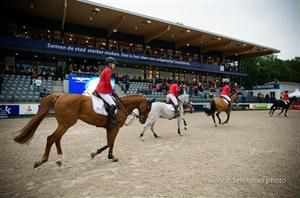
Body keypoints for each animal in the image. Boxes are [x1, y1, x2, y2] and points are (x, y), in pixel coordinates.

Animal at [13, 93, 155, 168]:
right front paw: (95, 154)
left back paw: (59, 159)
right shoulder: (114, 128)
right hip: (66, 123)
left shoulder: (110, 128)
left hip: (64, 124)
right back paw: (41, 161)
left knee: (57, 138)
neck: (121, 107)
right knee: (51, 138)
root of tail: (61, 95)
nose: (143, 121)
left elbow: (110, 143)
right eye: (148, 108)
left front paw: (110, 156)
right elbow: (110, 143)